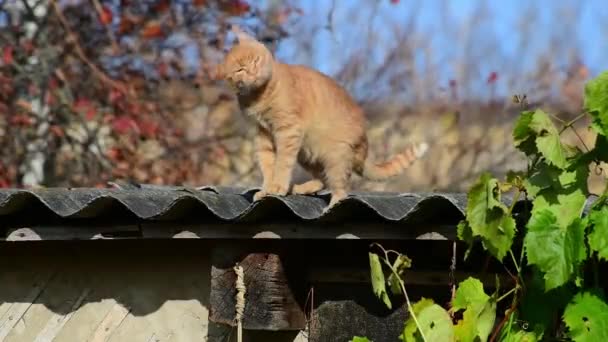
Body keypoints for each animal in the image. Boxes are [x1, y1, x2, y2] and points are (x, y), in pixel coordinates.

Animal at [217, 27, 428, 211]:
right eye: (240, 70)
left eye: (256, 60)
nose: (254, 71)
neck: (259, 95)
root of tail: (364, 147)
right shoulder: (263, 135)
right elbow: (267, 164)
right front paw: (267, 189)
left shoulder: (288, 131)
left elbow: (282, 164)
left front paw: (277, 187)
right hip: (307, 153)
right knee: (323, 180)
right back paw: (300, 188)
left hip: (334, 156)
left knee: (341, 189)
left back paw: (331, 206)